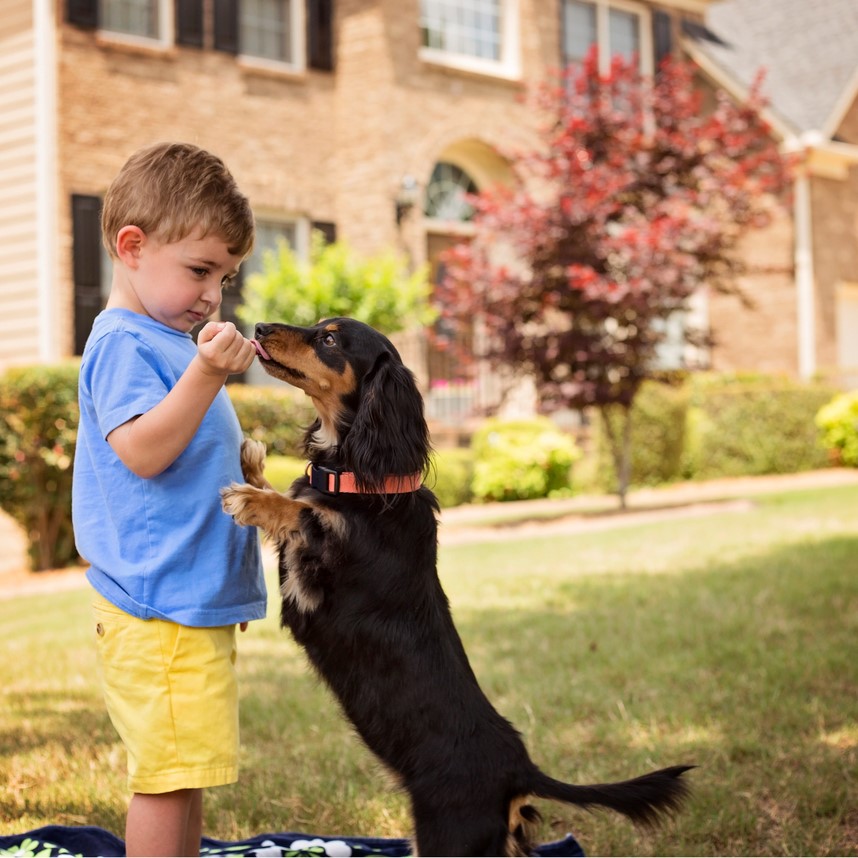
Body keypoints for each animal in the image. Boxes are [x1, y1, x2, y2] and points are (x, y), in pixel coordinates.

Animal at [221, 318, 688, 852]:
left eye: (330, 339)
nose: (259, 327)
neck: (365, 482)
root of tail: (519, 770)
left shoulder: (313, 583)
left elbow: (300, 512)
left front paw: (250, 498)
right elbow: (297, 498)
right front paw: (253, 465)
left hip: (448, 835)